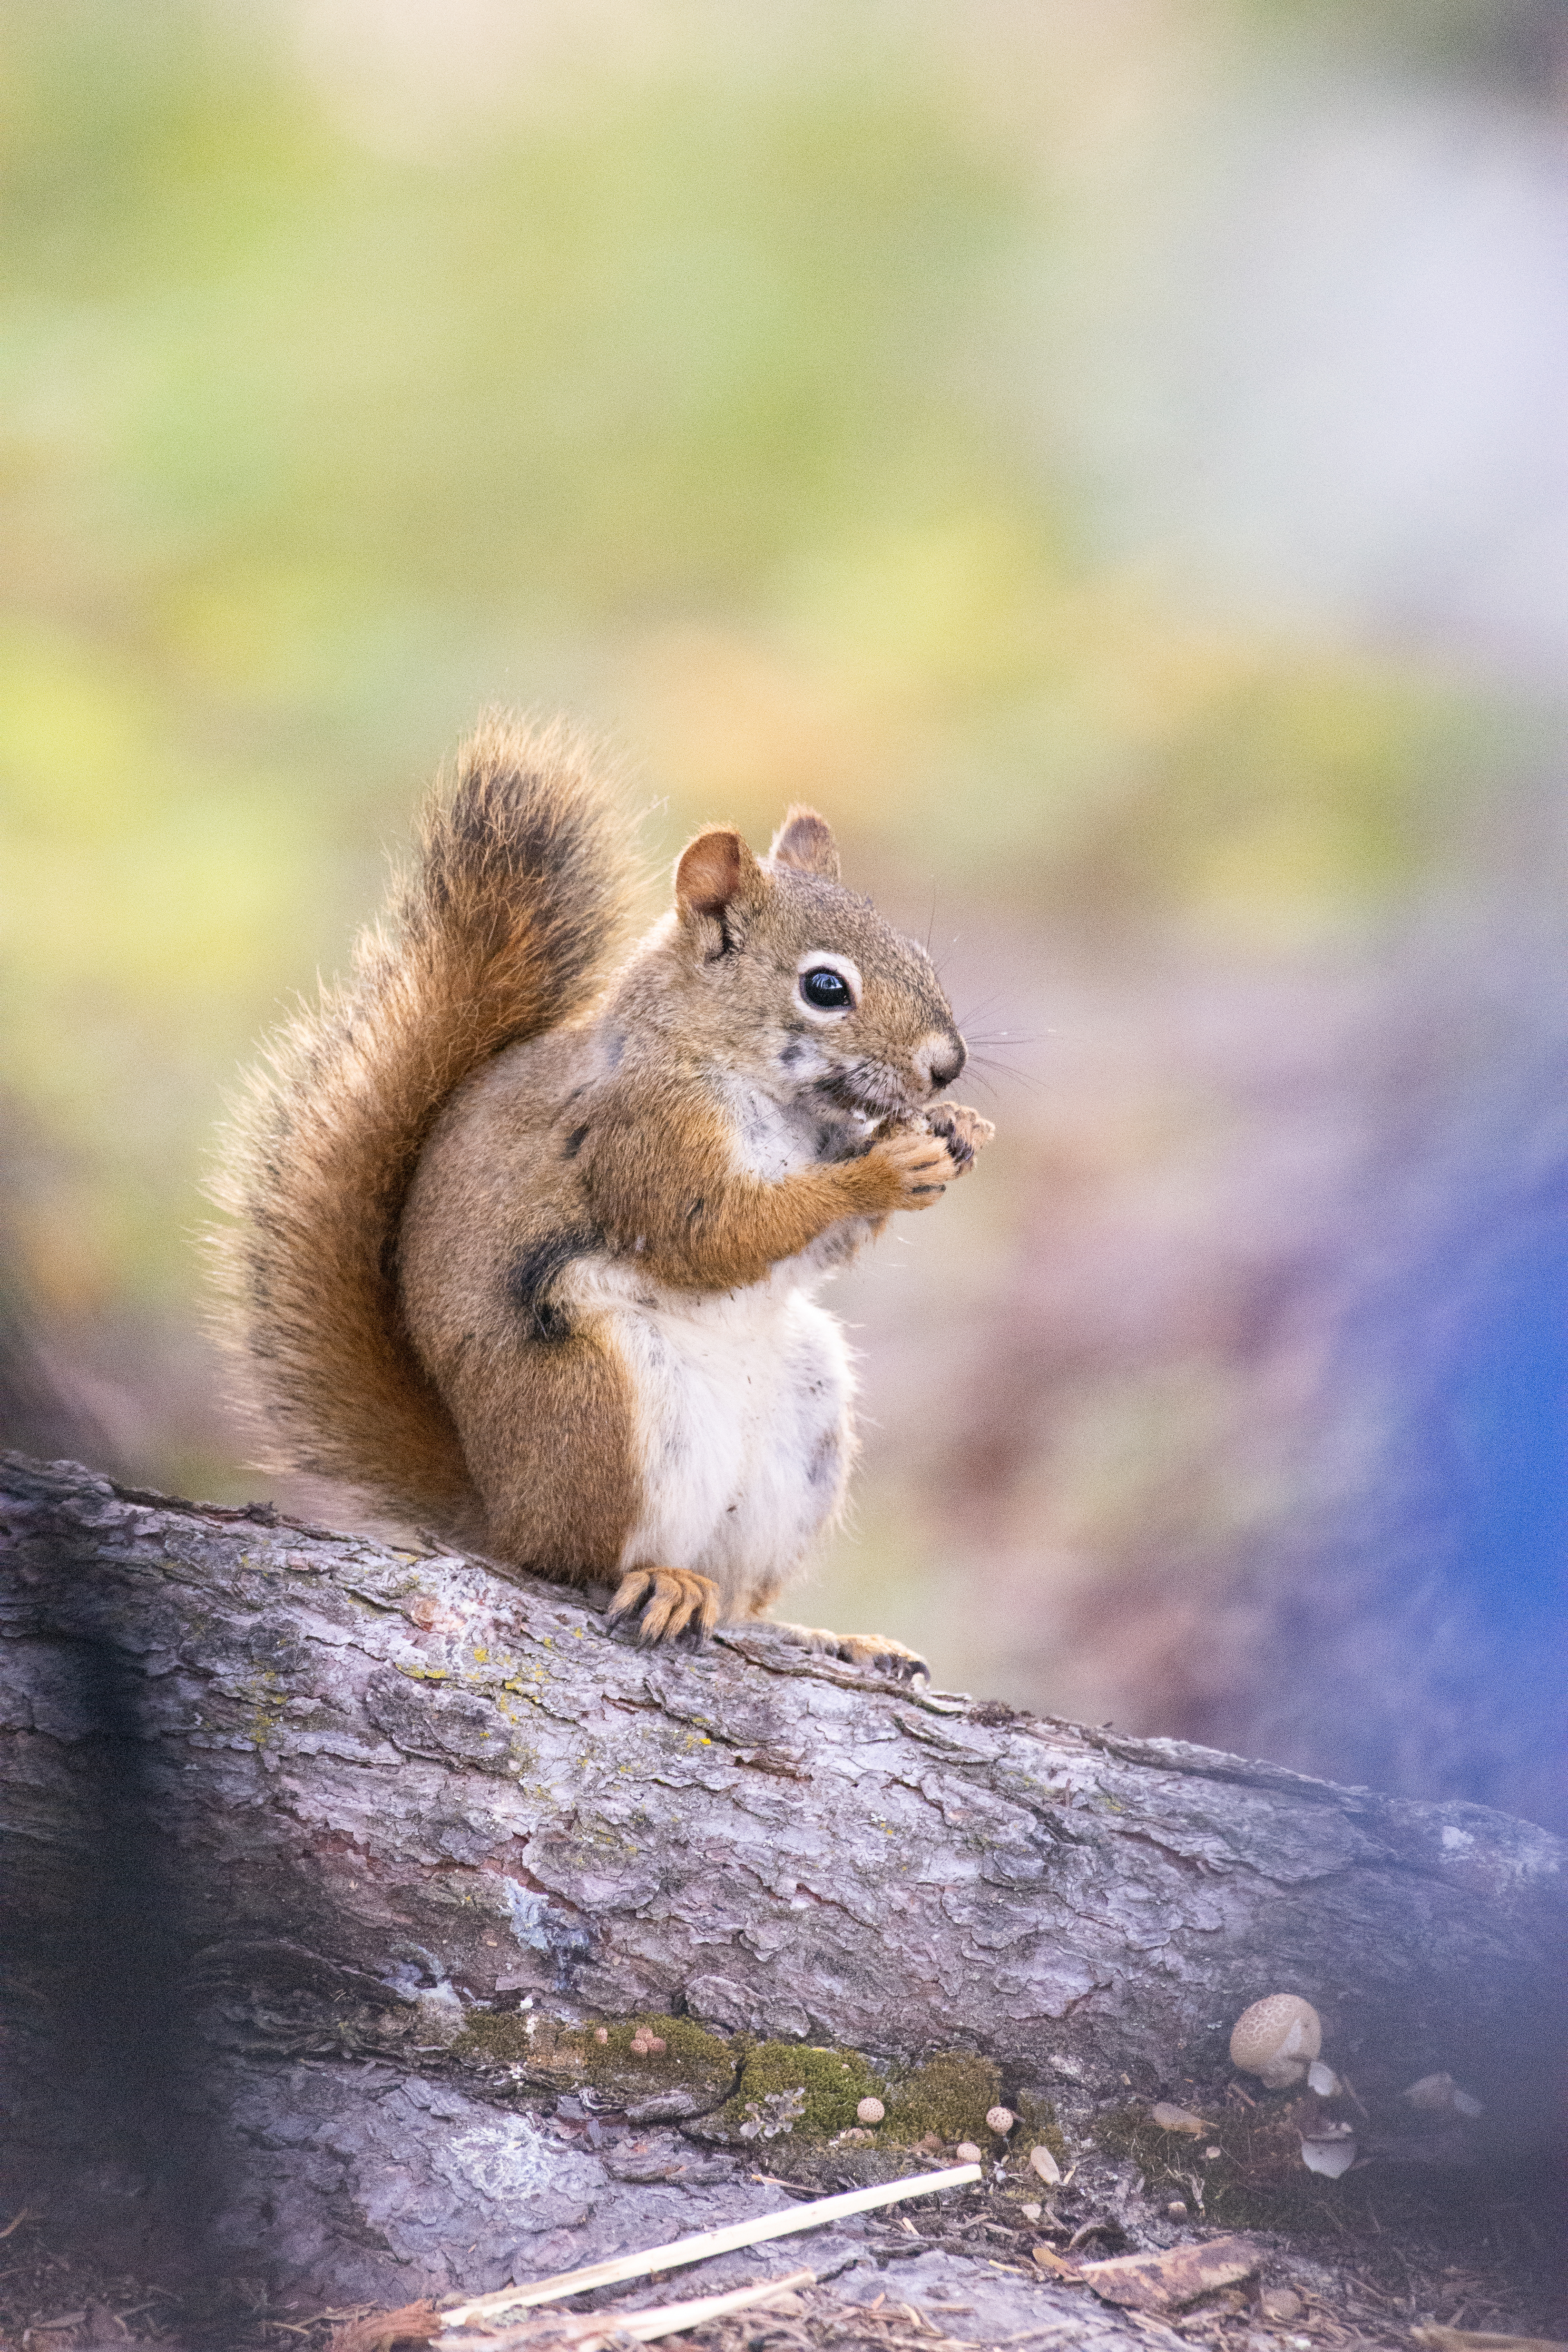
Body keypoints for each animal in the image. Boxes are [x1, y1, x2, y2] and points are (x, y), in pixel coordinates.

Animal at [211, 714, 994, 1673]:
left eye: (917, 954)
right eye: (825, 988)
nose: (947, 1065)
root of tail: (496, 1514)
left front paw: (954, 1128)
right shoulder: (641, 1135)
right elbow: (714, 1233)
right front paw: (881, 1169)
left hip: (803, 1427)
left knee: (741, 1598)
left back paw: (832, 1636)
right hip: (598, 1407)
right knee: (575, 1562)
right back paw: (658, 1582)